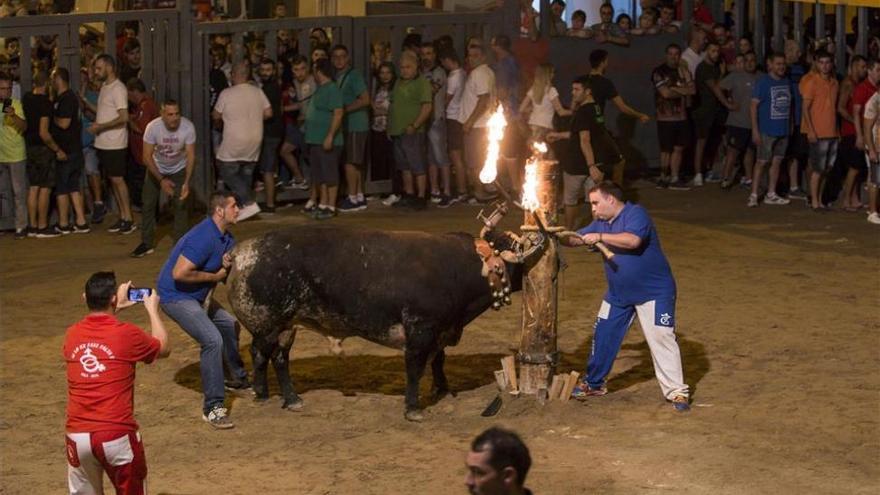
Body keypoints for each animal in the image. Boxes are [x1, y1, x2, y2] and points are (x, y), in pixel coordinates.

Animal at [223, 225, 524, 422]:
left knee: (279, 358)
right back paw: (262, 394)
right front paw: (413, 409)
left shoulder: (439, 331)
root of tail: (239, 253)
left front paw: (441, 389)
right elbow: (415, 369)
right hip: (267, 325)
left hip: (287, 326)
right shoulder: (420, 330)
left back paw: (291, 399)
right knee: (260, 354)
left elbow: (438, 360)